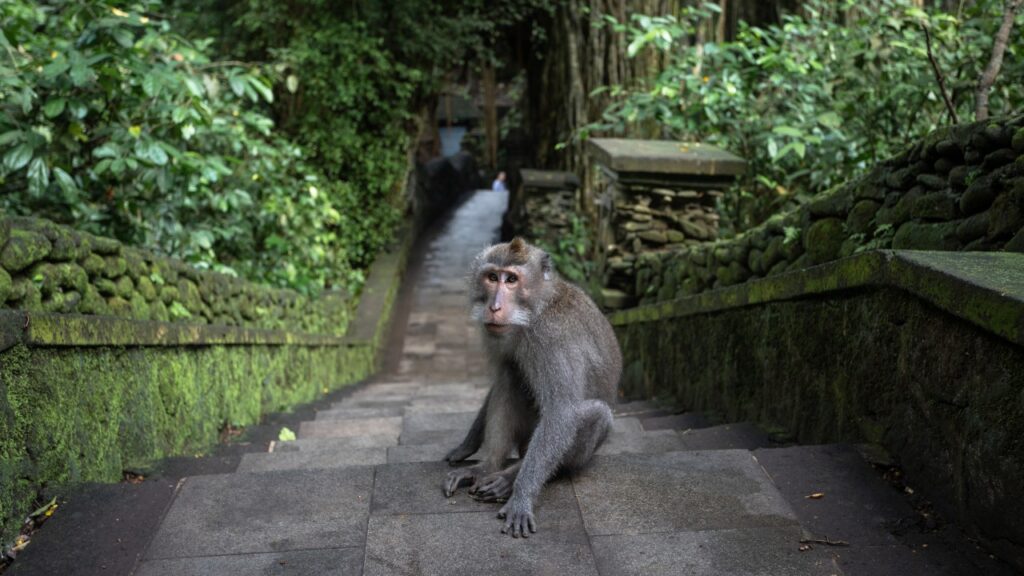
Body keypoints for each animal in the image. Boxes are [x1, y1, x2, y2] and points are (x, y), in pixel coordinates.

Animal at [442, 237, 622, 538]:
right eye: (492, 277)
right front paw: (466, 445)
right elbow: (500, 381)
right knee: (510, 376)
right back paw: (487, 467)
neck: (536, 310)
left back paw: (509, 477)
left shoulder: (552, 337)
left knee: (596, 414)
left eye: (512, 280)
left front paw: (521, 497)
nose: (494, 307)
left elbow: (561, 413)